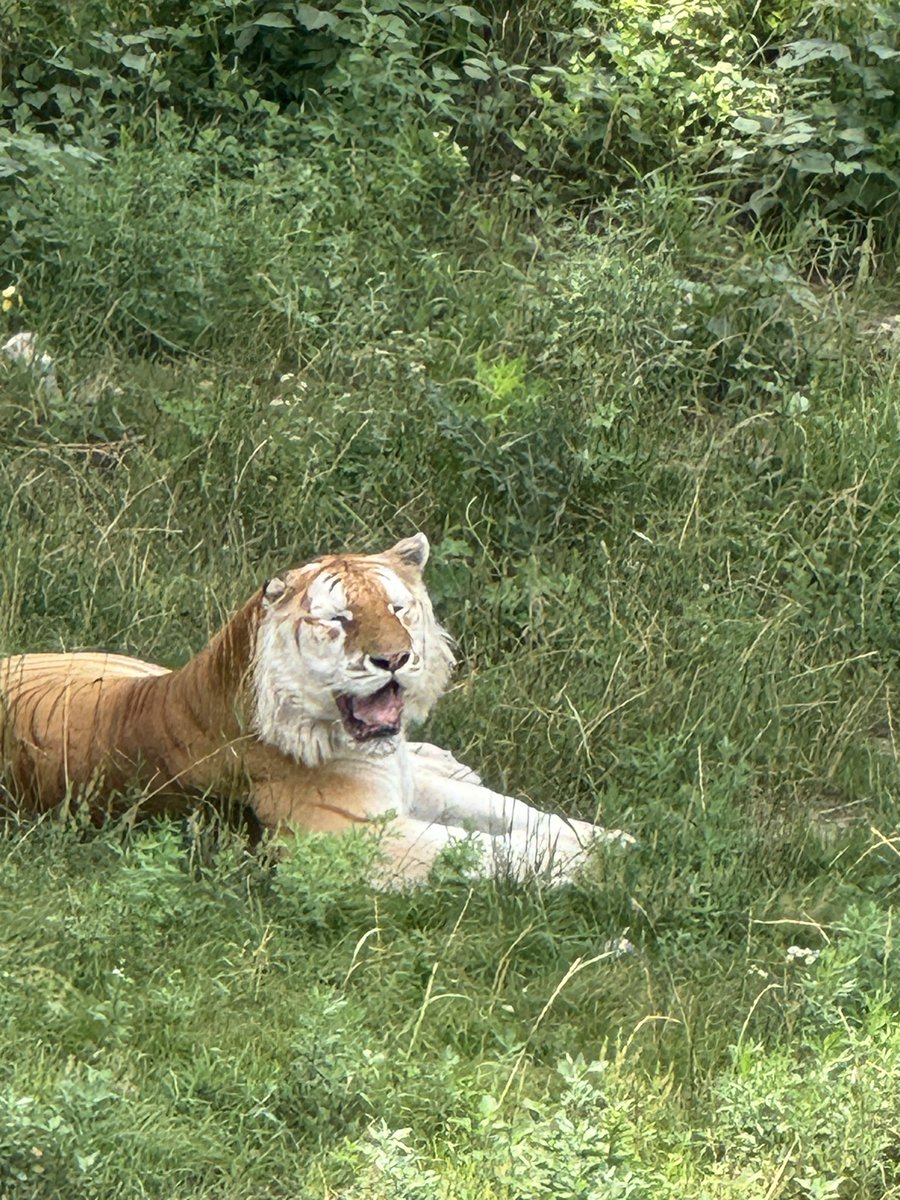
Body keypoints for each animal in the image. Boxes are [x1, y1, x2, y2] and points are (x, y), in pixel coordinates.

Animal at [0, 535, 629, 883]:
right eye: (339, 619)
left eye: (397, 608)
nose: (395, 657)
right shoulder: (353, 840)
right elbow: (485, 852)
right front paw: (590, 868)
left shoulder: (405, 785)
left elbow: (515, 811)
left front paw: (609, 840)